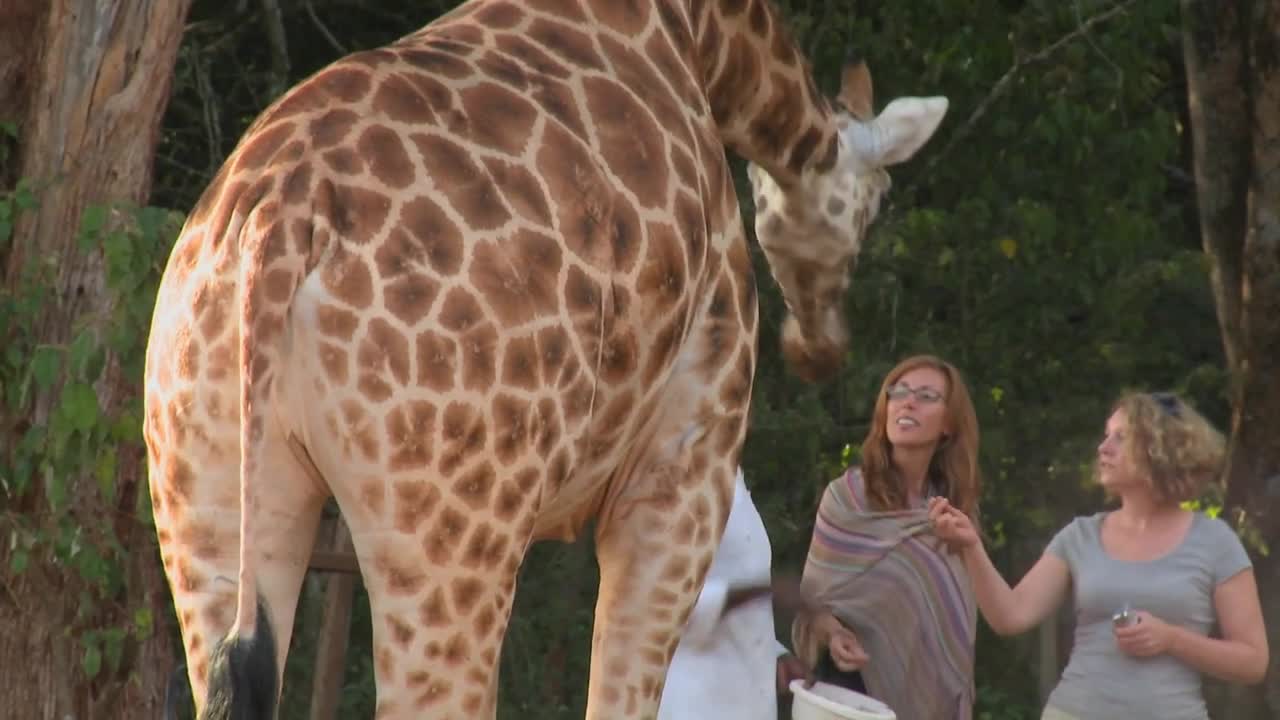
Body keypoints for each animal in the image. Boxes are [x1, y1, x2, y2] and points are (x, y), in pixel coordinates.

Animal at [145, 1, 952, 712]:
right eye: (879, 198)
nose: (820, 346)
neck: (706, 40)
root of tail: (280, 225)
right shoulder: (684, 469)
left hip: (206, 503)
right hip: (452, 535)